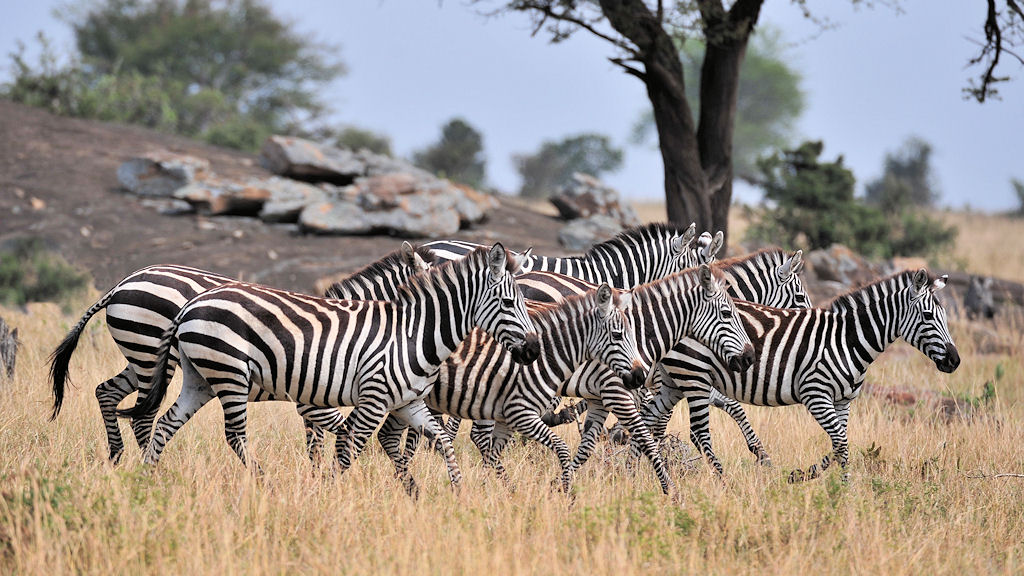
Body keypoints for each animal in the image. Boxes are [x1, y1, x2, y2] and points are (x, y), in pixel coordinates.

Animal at [48, 242, 437, 464]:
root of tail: (121, 284)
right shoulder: (309, 398)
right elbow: (331, 432)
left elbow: (318, 439)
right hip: (153, 355)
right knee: (143, 415)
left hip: (143, 356)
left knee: (107, 392)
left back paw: (117, 459)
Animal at [119, 244, 540, 490]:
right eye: (508, 302)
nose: (534, 350)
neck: (411, 331)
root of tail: (193, 304)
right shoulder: (363, 400)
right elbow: (346, 446)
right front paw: (329, 493)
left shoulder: (407, 403)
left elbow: (442, 442)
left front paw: (453, 494)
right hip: (228, 374)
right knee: (233, 435)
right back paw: (265, 484)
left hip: (200, 378)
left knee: (164, 423)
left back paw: (148, 479)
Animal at [376, 283, 647, 495]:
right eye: (617, 335)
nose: (639, 376)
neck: (545, 358)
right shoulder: (522, 414)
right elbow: (563, 448)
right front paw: (567, 494)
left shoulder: (507, 418)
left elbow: (493, 454)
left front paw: (496, 493)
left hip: (405, 401)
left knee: (387, 434)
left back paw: (405, 486)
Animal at [642, 268, 960, 481]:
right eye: (929, 317)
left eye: (945, 317)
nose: (955, 361)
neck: (847, 340)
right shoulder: (815, 394)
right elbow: (841, 443)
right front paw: (843, 489)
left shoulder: (843, 401)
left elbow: (839, 443)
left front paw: (808, 477)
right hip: (694, 375)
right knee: (698, 433)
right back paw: (722, 481)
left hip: (674, 381)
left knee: (647, 420)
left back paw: (637, 476)